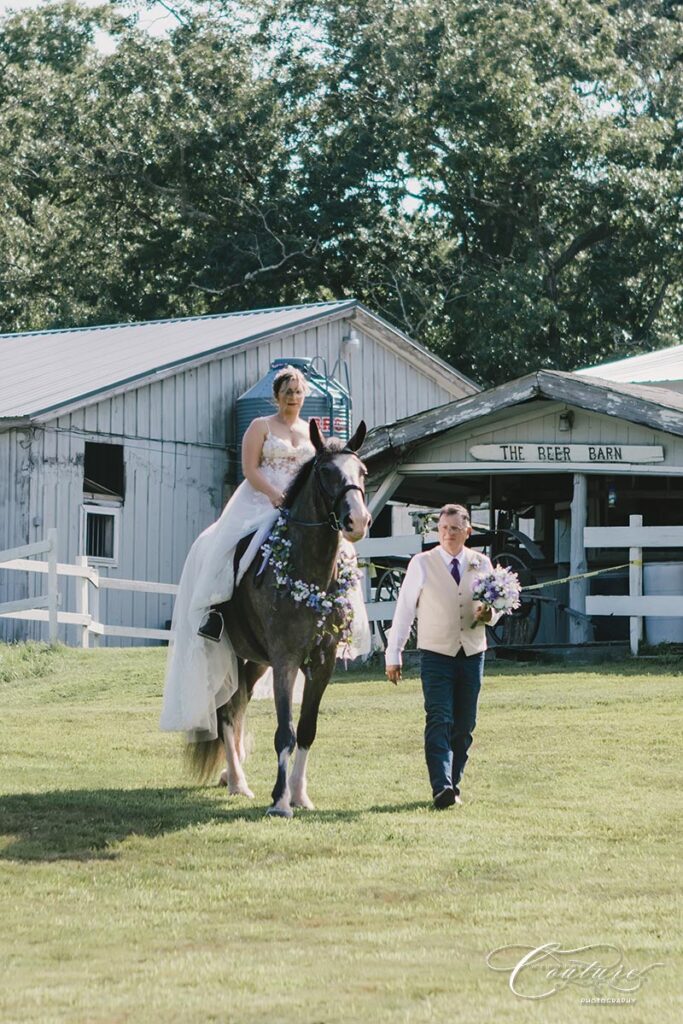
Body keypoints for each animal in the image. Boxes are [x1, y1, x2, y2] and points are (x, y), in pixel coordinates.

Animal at [187, 415, 370, 815]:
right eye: (326, 472)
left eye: (362, 471)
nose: (358, 521)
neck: (307, 570)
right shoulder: (286, 658)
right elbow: (284, 732)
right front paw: (280, 801)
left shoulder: (322, 661)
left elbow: (306, 730)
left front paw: (300, 795)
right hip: (226, 654)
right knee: (225, 713)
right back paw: (237, 783)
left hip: (254, 661)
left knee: (237, 708)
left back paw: (232, 776)